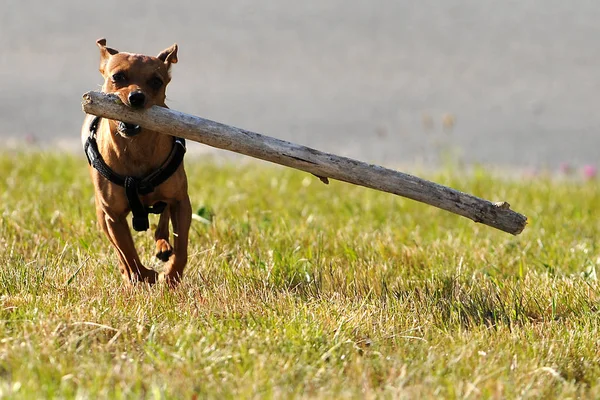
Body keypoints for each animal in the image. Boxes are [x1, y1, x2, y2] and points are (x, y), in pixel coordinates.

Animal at [81, 39, 191, 286]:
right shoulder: (113, 216)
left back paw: (162, 247)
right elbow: (128, 252)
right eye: (118, 76)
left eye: (156, 81)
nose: (137, 97)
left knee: (163, 220)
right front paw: (143, 275)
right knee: (119, 250)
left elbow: (181, 248)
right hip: (102, 215)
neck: (136, 149)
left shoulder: (181, 202)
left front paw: (171, 276)